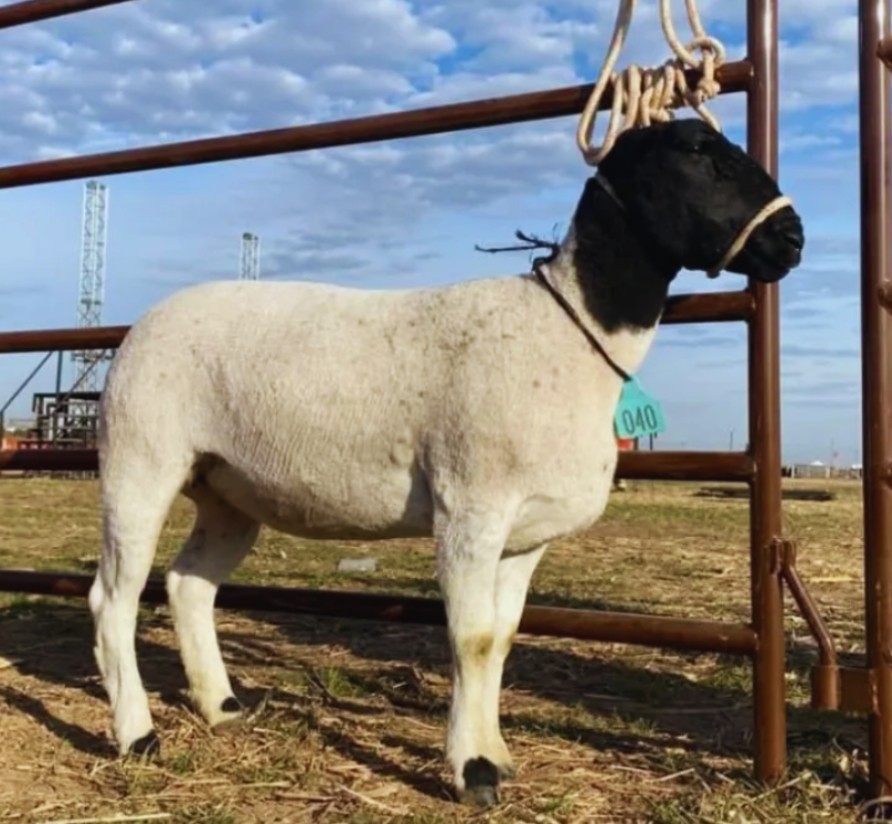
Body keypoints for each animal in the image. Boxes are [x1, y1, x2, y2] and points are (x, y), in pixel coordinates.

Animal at [88, 118, 804, 807]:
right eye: (698, 151)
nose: (792, 238)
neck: (571, 332)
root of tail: (143, 324)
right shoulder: (470, 507)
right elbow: (471, 638)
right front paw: (473, 769)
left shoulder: (525, 536)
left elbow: (502, 639)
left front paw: (499, 757)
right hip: (139, 460)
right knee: (113, 598)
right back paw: (137, 734)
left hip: (227, 490)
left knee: (189, 584)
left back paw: (223, 706)